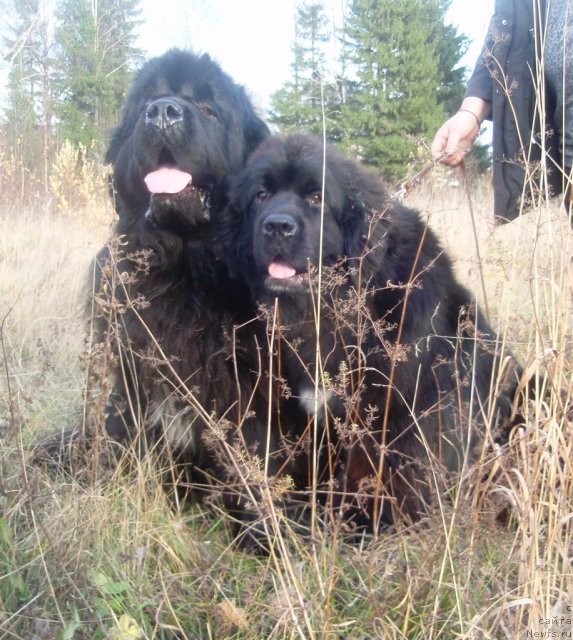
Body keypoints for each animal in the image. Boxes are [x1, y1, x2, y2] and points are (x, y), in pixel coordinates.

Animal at [36, 51, 278, 540]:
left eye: (208, 108)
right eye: (148, 101)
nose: (163, 112)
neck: (185, 266)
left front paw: (258, 529)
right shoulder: (127, 375)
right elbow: (121, 434)